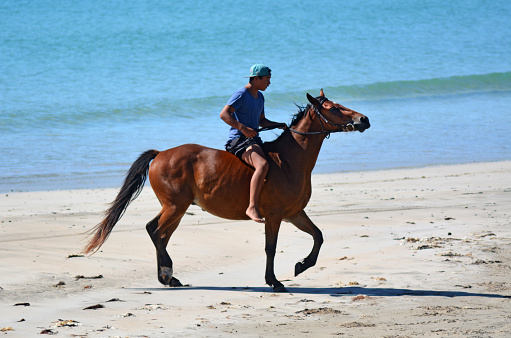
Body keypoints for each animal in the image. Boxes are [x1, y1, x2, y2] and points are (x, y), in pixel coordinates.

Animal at [84, 90, 372, 294]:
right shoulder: (275, 215)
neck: (290, 161)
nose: (364, 119)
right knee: (154, 231)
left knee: (160, 234)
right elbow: (271, 248)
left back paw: (169, 277)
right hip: (175, 206)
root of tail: (161, 153)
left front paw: (301, 265)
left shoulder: (294, 213)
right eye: (333, 108)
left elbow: (319, 236)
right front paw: (274, 281)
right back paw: (166, 272)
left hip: (177, 209)